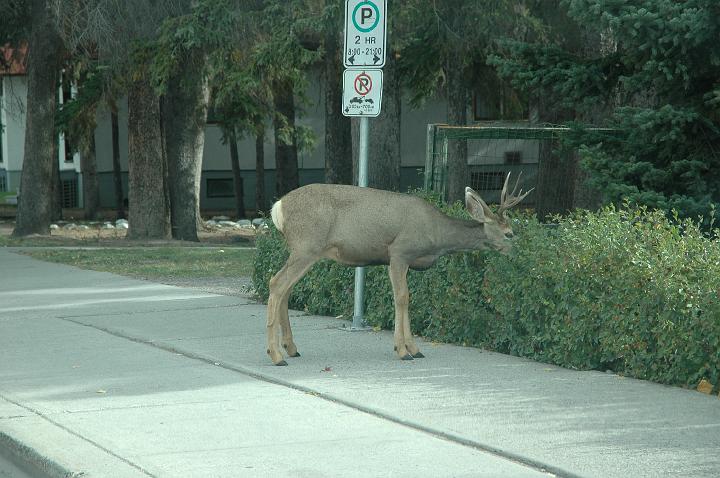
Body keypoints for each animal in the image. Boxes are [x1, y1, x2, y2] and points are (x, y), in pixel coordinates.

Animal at [264, 174, 528, 364]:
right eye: (509, 233)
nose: (520, 254)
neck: (436, 235)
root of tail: (277, 207)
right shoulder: (399, 252)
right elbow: (402, 298)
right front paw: (403, 350)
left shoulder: (406, 262)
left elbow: (407, 299)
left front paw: (414, 348)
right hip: (307, 246)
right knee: (276, 283)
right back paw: (276, 355)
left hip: (302, 250)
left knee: (285, 289)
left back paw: (291, 349)